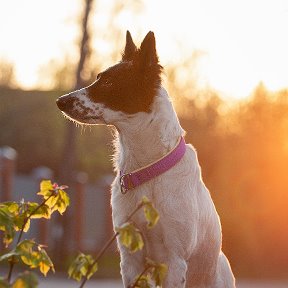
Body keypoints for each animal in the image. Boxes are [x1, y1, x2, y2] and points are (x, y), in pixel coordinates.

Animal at [55, 30, 234, 286]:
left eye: (109, 82)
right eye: (98, 77)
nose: (60, 101)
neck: (146, 170)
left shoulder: (174, 260)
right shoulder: (130, 256)